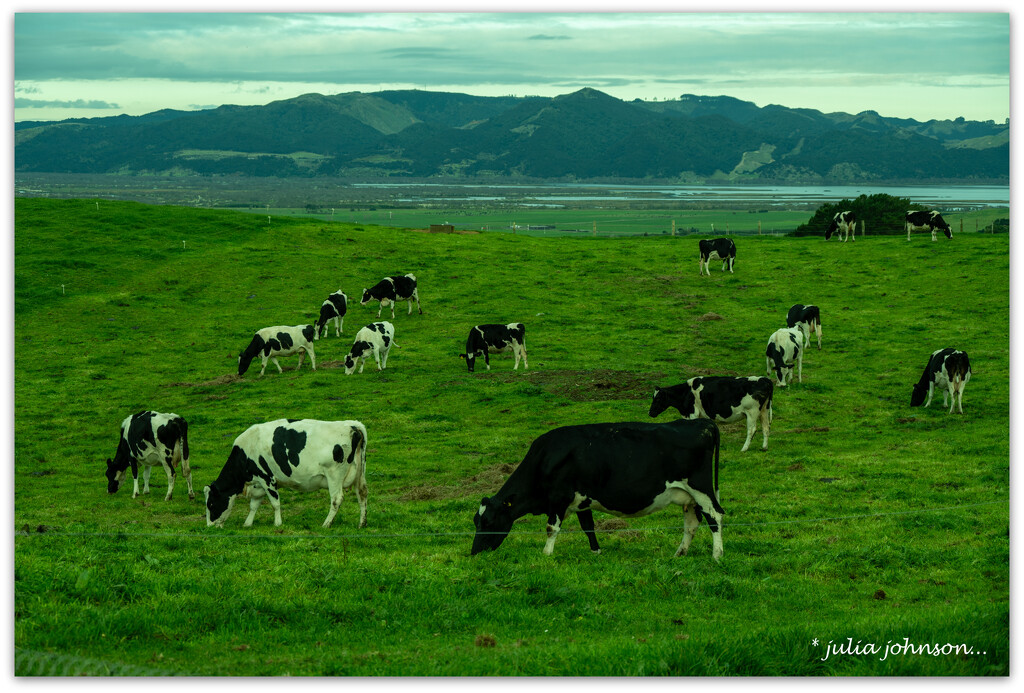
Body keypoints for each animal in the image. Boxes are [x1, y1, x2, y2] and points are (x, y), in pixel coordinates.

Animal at [203, 419, 368, 528]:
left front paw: (277, 523)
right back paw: (362, 523)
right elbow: (254, 505)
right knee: (362, 494)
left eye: (210, 503)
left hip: (334, 475)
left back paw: (326, 524)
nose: (210, 526)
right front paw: (247, 524)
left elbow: (275, 503)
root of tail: (352, 425)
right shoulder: (258, 484)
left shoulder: (267, 478)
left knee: (336, 499)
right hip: (360, 474)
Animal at [473, 415, 724, 556]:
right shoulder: (582, 500)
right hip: (688, 497)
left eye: (488, 521)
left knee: (715, 517)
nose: (474, 552)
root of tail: (703, 423)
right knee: (691, 524)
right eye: (476, 521)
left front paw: (546, 554)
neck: (545, 458)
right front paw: (596, 551)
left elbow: (551, 528)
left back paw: (717, 555)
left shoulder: (559, 497)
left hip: (701, 489)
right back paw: (679, 553)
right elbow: (588, 527)